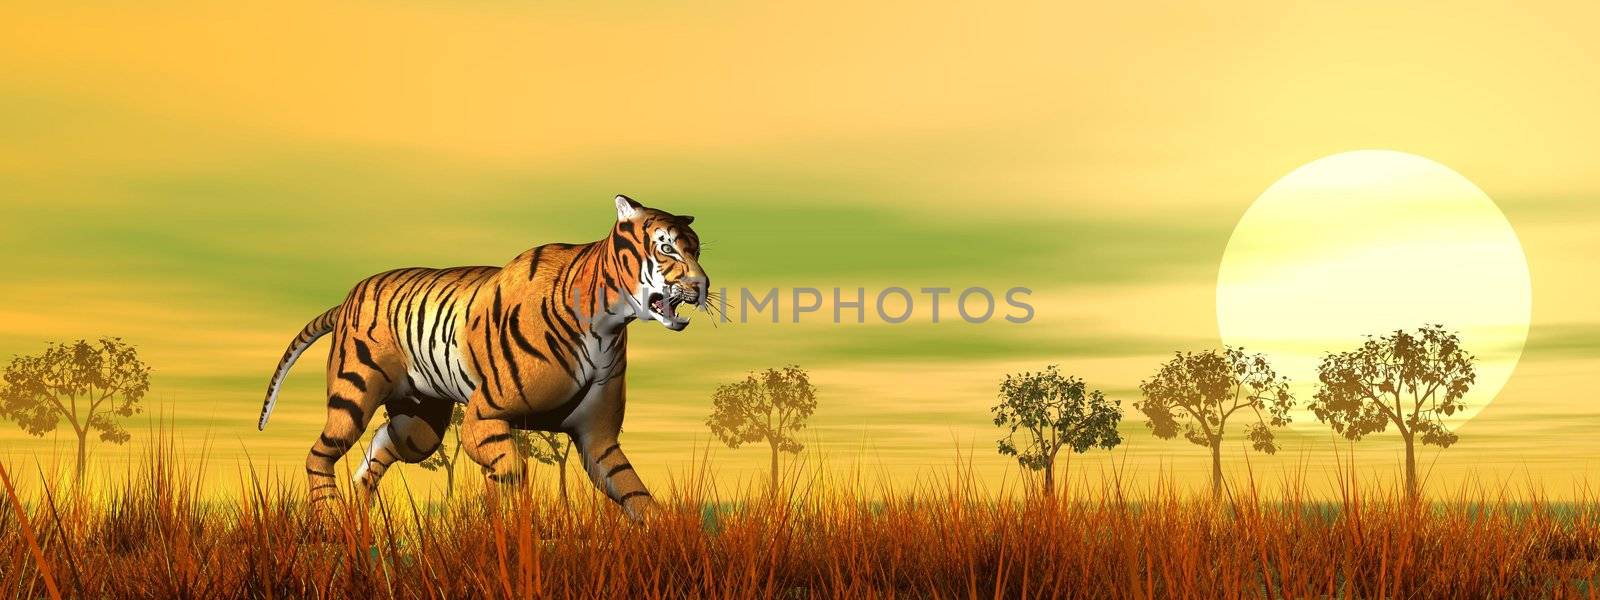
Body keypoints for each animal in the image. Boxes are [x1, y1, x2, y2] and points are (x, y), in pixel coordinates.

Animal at [254, 195, 707, 518]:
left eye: (697, 250)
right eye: (666, 248)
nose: (702, 285)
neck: (608, 324)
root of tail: (346, 298)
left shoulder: (597, 439)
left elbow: (633, 490)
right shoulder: (483, 416)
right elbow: (511, 472)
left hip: (417, 427)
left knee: (374, 454)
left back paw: (358, 521)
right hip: (354, 394)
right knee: (319, 453)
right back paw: (330, 520)